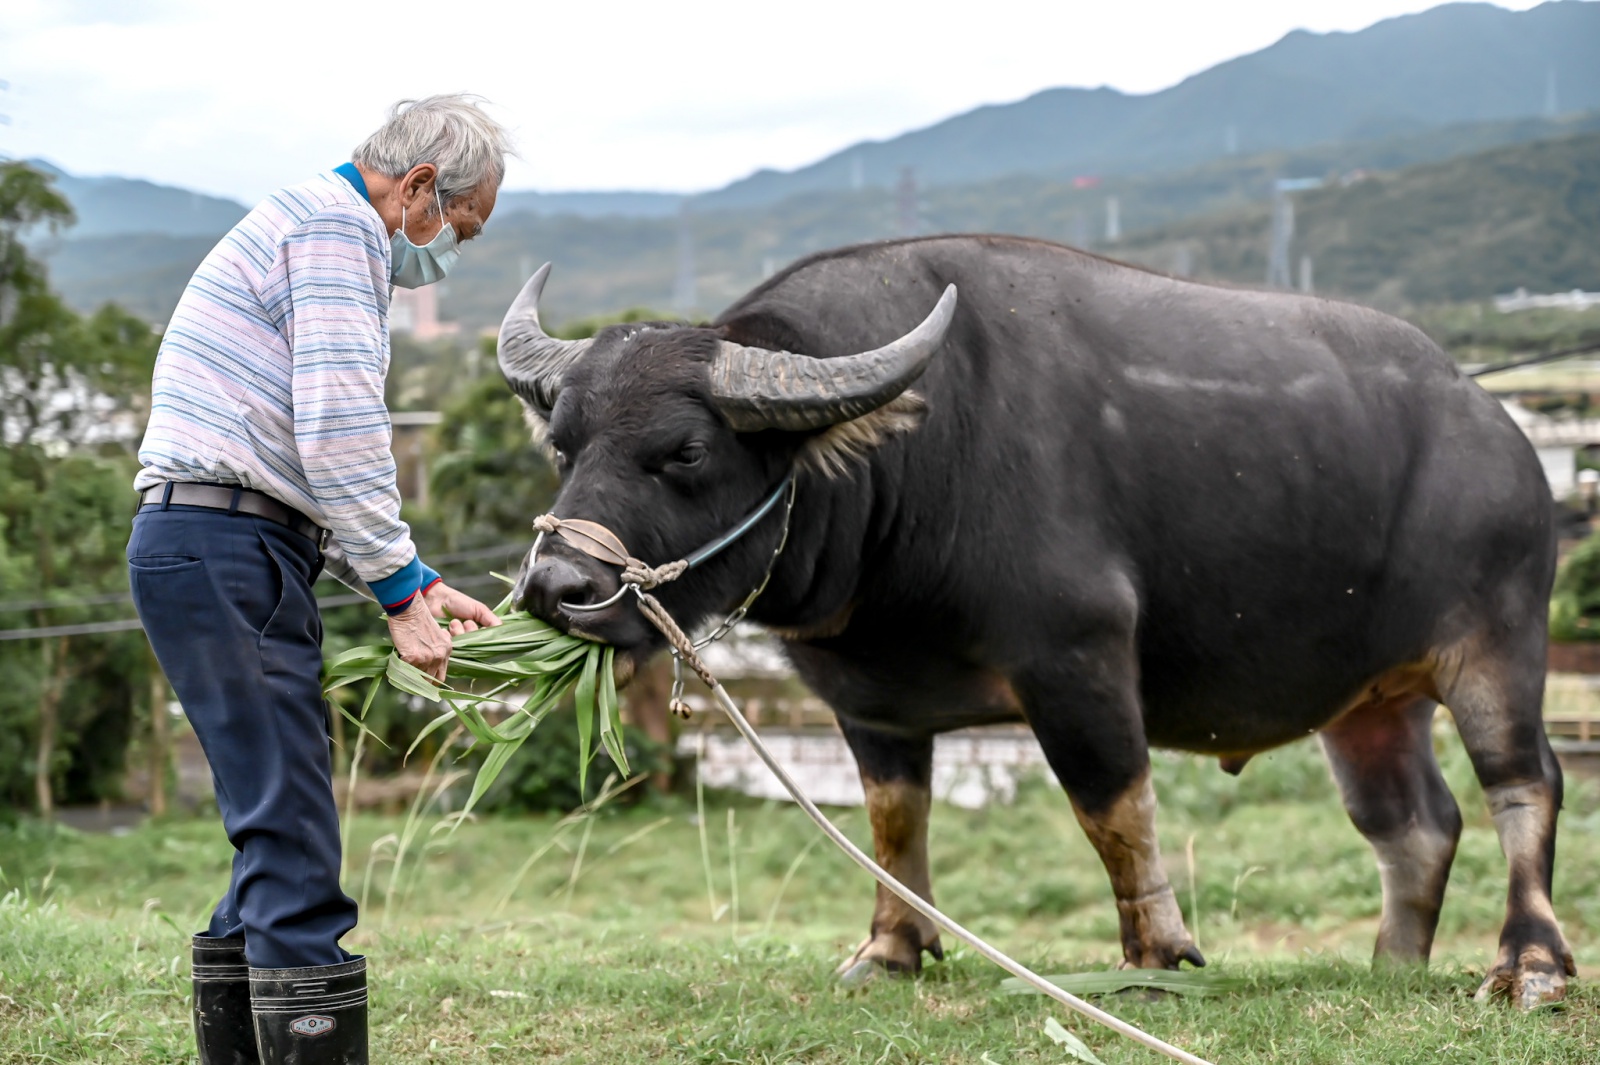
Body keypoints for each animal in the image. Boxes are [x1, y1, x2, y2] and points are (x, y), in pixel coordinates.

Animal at [502, 236, 1574, 1010]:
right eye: (564, 444)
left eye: (684, 451)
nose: (556, 587)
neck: (916, 472)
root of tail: (1504, 433)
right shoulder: (868, 704)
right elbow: (892, 820)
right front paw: (892, 948)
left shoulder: (1077, 661)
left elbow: (1115, 810)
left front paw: (1155, 953)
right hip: (1368, 700)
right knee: (1414, 824)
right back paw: (1391, 964)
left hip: (1497, 644)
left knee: (1525, 784)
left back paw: (1530, 965)